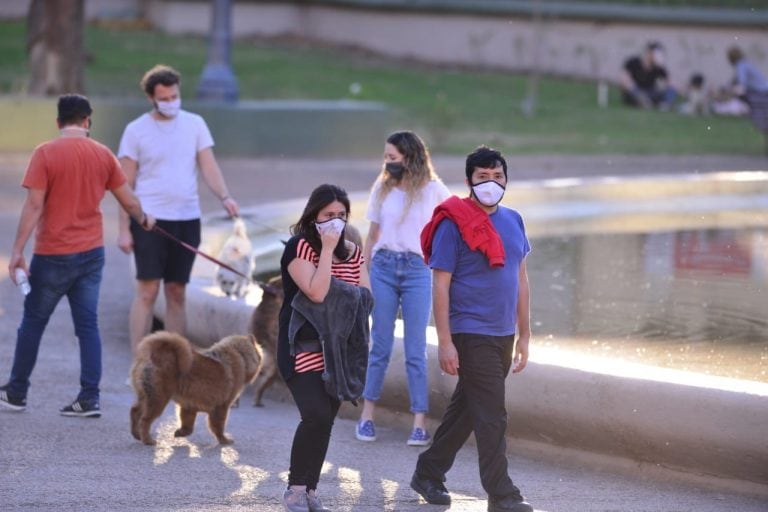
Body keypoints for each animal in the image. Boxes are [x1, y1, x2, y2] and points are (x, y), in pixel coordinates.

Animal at [130, 332, 262, 444]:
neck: (241, 356)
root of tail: (154, 353)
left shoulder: (188, 406)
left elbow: (188, 425)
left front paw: (180, 433)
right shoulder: (222, 407)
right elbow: (218, 426)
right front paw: (224, 440)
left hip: (145, 396)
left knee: (134, 411)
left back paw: (136, 434)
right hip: (158, 399)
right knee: (145, 420)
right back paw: (148, 440)